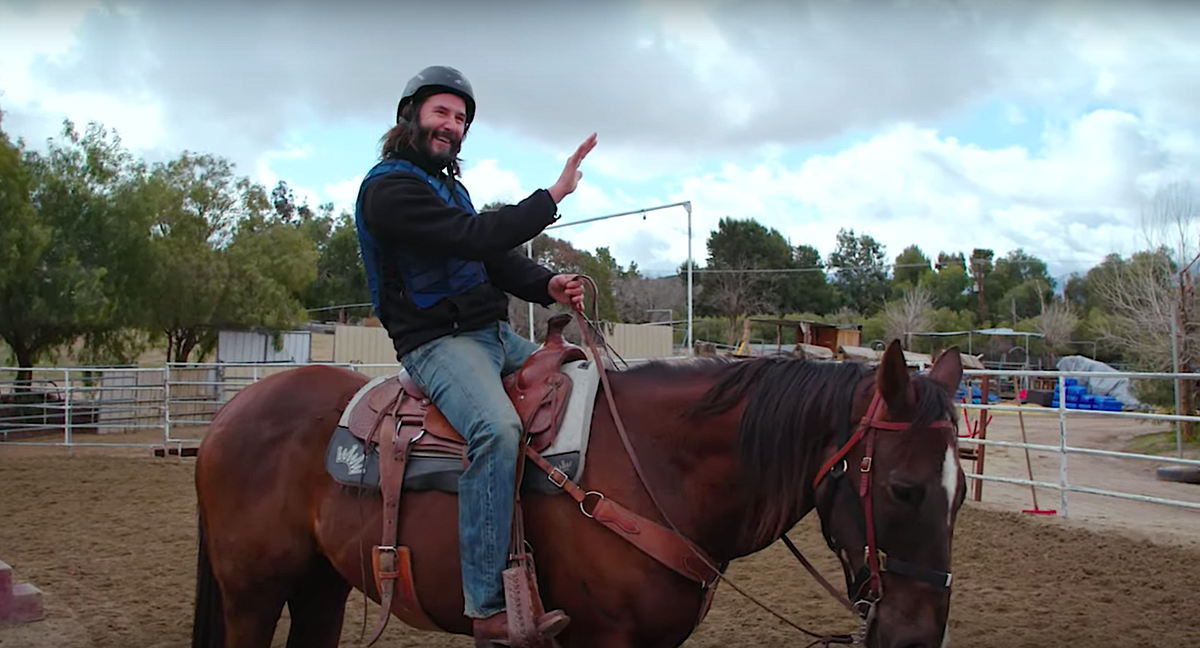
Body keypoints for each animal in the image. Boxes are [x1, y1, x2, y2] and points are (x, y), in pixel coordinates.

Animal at [192, 333, 969, 648]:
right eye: (902, 489)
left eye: (961, 493)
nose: (916, 638)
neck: (657, 468)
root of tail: (229, 414)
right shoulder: (604, 638)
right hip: (253, 592)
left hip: (319, 586)